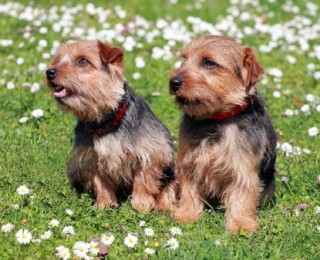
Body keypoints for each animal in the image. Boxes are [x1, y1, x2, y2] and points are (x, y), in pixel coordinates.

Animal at [170, 35, 278, 233]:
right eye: (184, 59)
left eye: (209, 63)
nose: (173, 82)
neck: (216, 119)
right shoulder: (190, 162)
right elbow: (189, 190)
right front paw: (187, 215)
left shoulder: (243, 168)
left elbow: (242, 196)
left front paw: (241, 225)